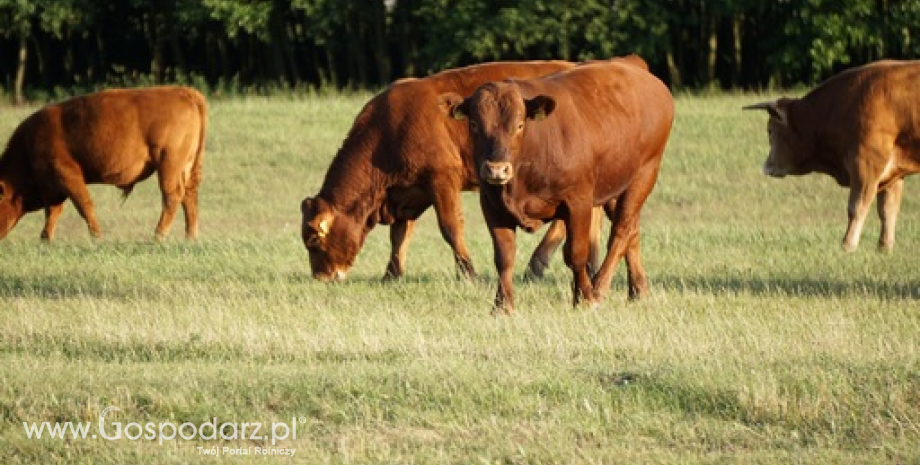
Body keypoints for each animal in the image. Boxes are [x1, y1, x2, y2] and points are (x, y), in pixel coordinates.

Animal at [0, 84, 207, 241]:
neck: (28, 144)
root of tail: (183, 91)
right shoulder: (53, 188)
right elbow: (52, 212)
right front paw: (45, 239)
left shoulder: (67, 176)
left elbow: (84, 205)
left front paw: (97, 237)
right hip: (186, 168)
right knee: (189, 196)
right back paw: (190, 237)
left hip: (168, 165)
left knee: (172, 196)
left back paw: (158, 236)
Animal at [298, 59, 608, 280]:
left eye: (313, 238)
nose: (321, 276)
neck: (390, 128)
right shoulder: (408, 192)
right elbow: (400, 234)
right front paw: (391, 274)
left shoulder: (443, 179)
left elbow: (450, 228)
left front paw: (468, 273)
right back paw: (589, 264)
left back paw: (538, 264)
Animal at [442, 56, 672, 314]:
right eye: (473, 124)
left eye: (519, 125)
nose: (496, 169)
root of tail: (631, 64)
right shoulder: (492, 205)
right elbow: (504, 257)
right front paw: (502, 306)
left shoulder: (578, 202)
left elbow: (576, 254)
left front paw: (583, 298)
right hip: (616, 185)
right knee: (632, 230)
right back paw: (638, 290)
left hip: (644, 175)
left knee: (621, 232)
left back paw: (599, 288)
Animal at [744, 60, 920, 254]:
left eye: (770, 130)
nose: (766, 166)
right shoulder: (893, 172)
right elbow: (887, 211)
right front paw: (884, 248)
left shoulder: (867, 163)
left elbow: (856, 207)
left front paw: (847, 245)